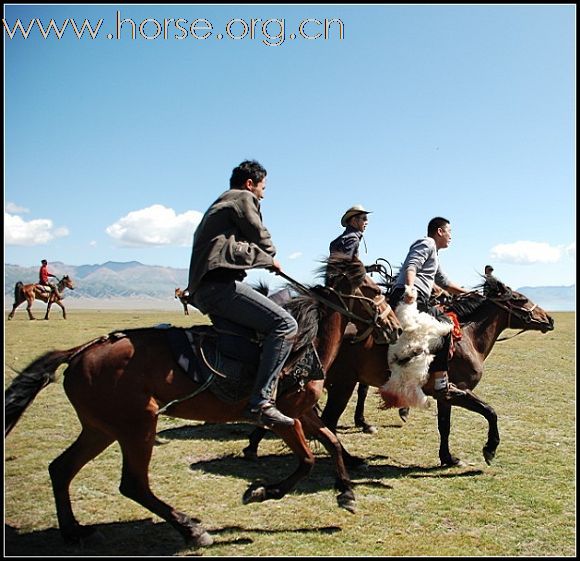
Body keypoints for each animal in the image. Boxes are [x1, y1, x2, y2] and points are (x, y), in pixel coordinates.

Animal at [4, 258, 402, 548]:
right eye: (371, 289)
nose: (396, 327)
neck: (306, 342)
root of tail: (80, 351)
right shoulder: (285, 417)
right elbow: (305, 459)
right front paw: (261, 491)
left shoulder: (303, 413)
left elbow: (332, 443)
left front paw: (346, 494)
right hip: (136, 426)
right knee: (132, 484)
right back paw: (191, 529)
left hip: (100, 428)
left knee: (61, 468)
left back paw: (74, 530)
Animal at [244, 278, 552, 468]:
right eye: (520, 299)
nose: (549, 319)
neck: (467, 336)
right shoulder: (455, 390)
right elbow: (489, 411)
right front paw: (489, 449)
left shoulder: (444, 396)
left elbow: (445, 426)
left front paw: (448, 458)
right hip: (342, 385)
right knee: (326, 422)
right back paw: (349, 460)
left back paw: (253, 447)